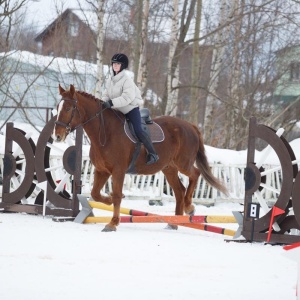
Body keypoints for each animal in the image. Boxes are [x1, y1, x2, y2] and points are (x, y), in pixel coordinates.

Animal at [52, 85, 226, 232]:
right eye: (57, 107)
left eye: (68, 108)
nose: (57, 136)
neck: (106, 132)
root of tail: (191, 126)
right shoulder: (102, 171)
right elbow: (96, 194)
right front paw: (109, 201)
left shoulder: (118, 171)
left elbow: (116, 195)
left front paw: (113, 223)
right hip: (169, 168)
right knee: (179, 191)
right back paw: (174, 222)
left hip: (183, 163)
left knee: (195, 174)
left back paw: (189, 207)